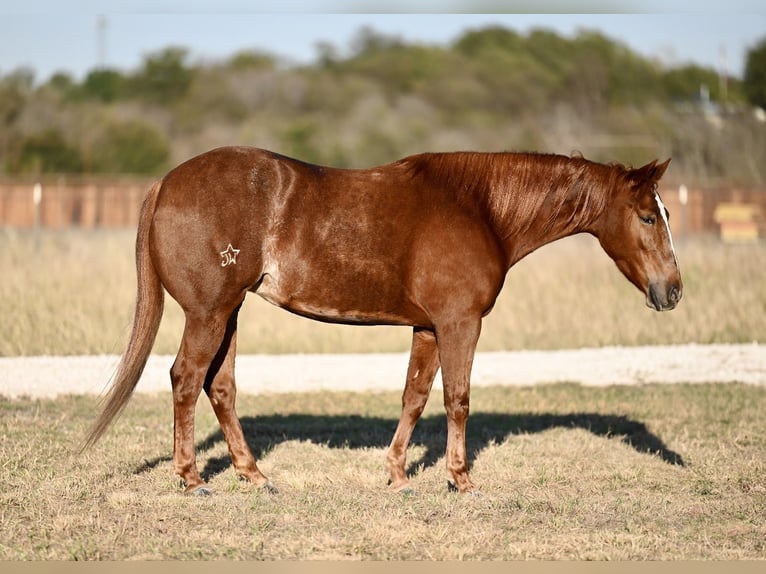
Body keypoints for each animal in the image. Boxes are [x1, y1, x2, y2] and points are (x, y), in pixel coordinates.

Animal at [82, 147, 684, 496]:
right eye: (647, 217)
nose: (673, 291)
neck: (480, 207)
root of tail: (166, 183)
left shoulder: (428, 327)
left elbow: (414, 397)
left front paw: (396, 474)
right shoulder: (460, 323)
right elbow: (457, 399)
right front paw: (460, 479)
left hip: (228, 313)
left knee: (219, 387)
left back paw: (254, 474)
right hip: (209, 313)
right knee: (186, 380)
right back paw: (190, 478)